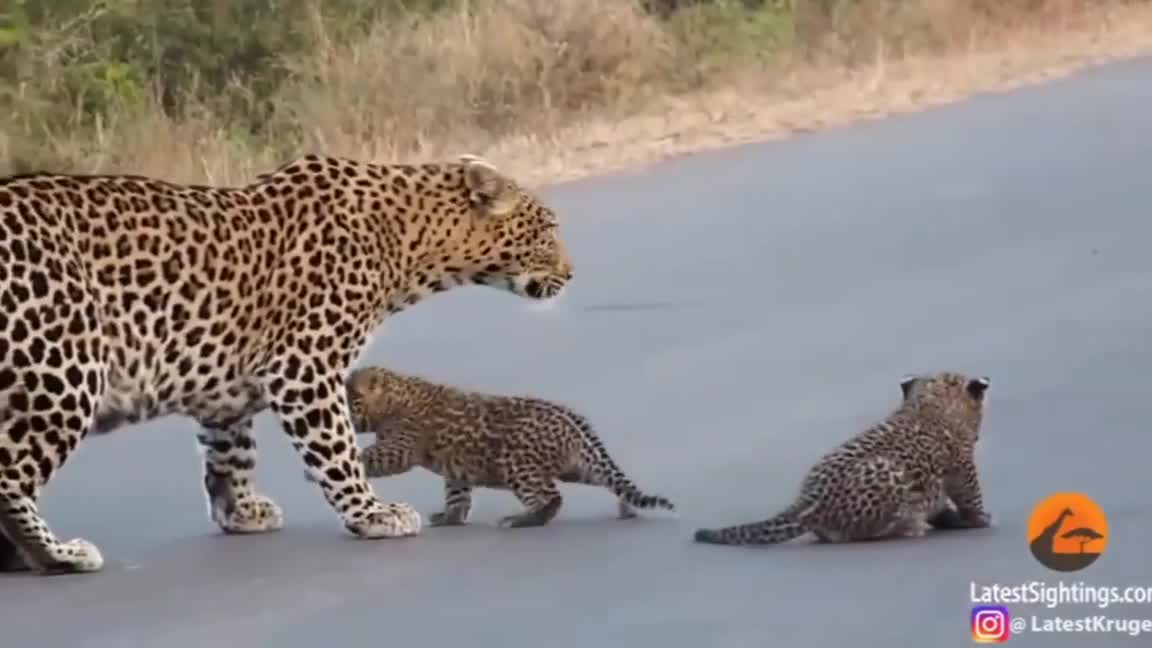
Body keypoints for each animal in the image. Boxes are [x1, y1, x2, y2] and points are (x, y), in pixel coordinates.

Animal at [0, 153, 573, 571]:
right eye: (547, 229)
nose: (571, 274)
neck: (410, 242)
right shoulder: (306, 367)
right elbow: (337, 449)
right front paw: (372, 515)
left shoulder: (227, 385)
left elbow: (230, 453)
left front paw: (242, 513)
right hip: (63, 372)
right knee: (11, 477)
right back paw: (56, 555)